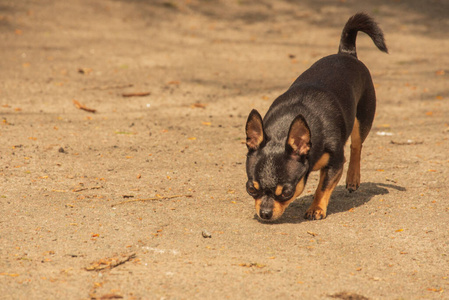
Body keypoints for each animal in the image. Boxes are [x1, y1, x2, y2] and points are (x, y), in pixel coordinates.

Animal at [243, 12, 386, 221]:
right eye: (251, 189)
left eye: (287, 192)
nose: (265, 213)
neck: (282, 131)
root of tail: (346, 53)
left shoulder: (335, 164)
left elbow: (323, 187)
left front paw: (316, 208)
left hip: (363, 119)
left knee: (356, 146)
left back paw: (353, 178)